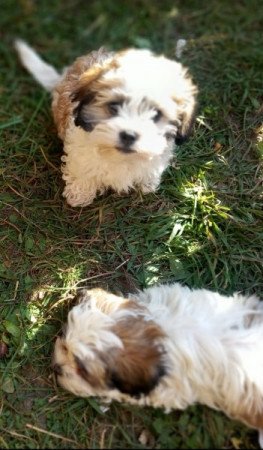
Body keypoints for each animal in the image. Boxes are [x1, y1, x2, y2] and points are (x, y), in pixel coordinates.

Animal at [14, 39, 198, 207]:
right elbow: (82, 171)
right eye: (114, 106)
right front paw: (79, 194)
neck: (119, 156)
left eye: (156, 114)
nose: (129, 135)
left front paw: (148, 184)